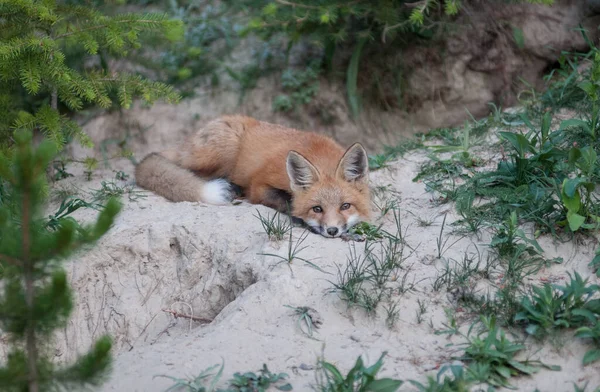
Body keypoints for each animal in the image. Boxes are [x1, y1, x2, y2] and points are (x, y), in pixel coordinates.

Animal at [135, 115, 370, 239]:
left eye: (345, 206)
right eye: (317, 208)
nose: (332, 230)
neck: (319, 154)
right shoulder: (259, 185)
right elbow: (285, 200)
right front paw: (299, 217)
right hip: (223, 150)